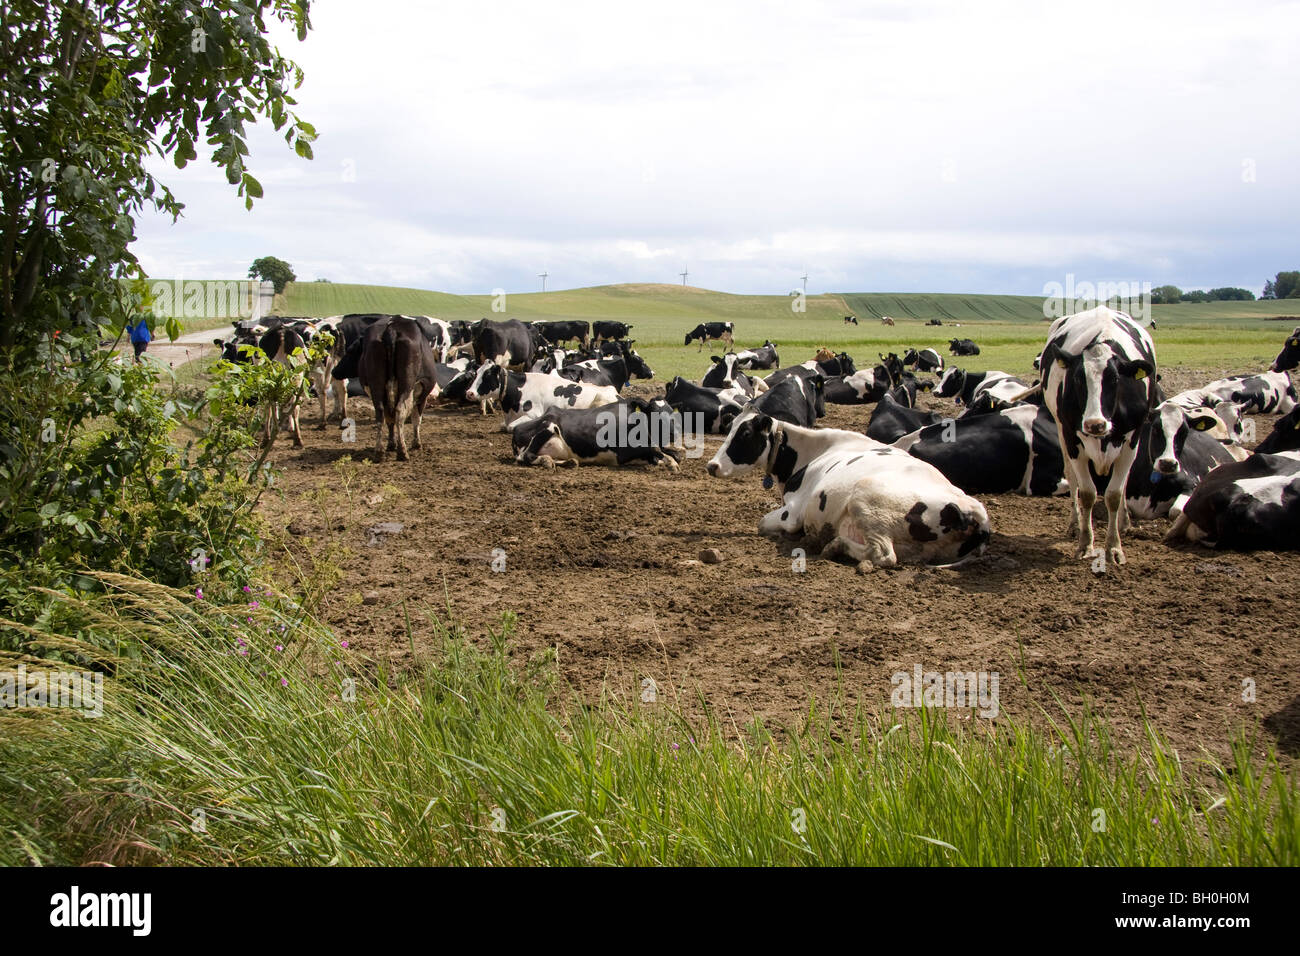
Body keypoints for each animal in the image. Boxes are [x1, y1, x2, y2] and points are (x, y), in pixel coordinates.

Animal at [357, 316, 438, 462]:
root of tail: (391, 329)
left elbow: (390, 420)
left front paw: (391, 444)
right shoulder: (422, 394)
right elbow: (416, 418)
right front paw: (416, 444)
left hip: (376, 385)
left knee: (381, 413)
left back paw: (379, 452)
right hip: (407, 384)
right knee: (400, 410)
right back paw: (402, 451)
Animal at [464, 364, 618, 430]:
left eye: (487, 375)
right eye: (476, 373)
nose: (469, 393)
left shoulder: (533, 414)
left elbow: (511, 427)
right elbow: (503, 426)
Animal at [511, 397, 683, 470]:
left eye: (671, 412)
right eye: (654, 412)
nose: (673, 434)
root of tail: (516, 429)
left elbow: (674, 454)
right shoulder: (623, 453)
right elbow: (657, 451)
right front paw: (671, 464)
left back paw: (569, 462)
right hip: (548, 425)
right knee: (526, 456)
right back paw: (546, 461)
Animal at [705, 418, 990, 570]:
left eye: (744, 433)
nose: (712, 466)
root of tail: (973, 511)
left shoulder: (792, 513)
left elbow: (763, 523)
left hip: (867, 498)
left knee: (883, 555)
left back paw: (834, 545)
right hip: (920, 550)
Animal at [1040, 306, 1158, 565]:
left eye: (1115, 379)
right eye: (1077, 378)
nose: (1095, 424)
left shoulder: (1132, 440)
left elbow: (1114, 493)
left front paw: (1114, 547)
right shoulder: (1072, 439)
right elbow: (1087, 493)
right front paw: (1085, 543)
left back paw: (1124, 521)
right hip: (1062, 433)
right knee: (1071, 477)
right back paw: (1075, 523)